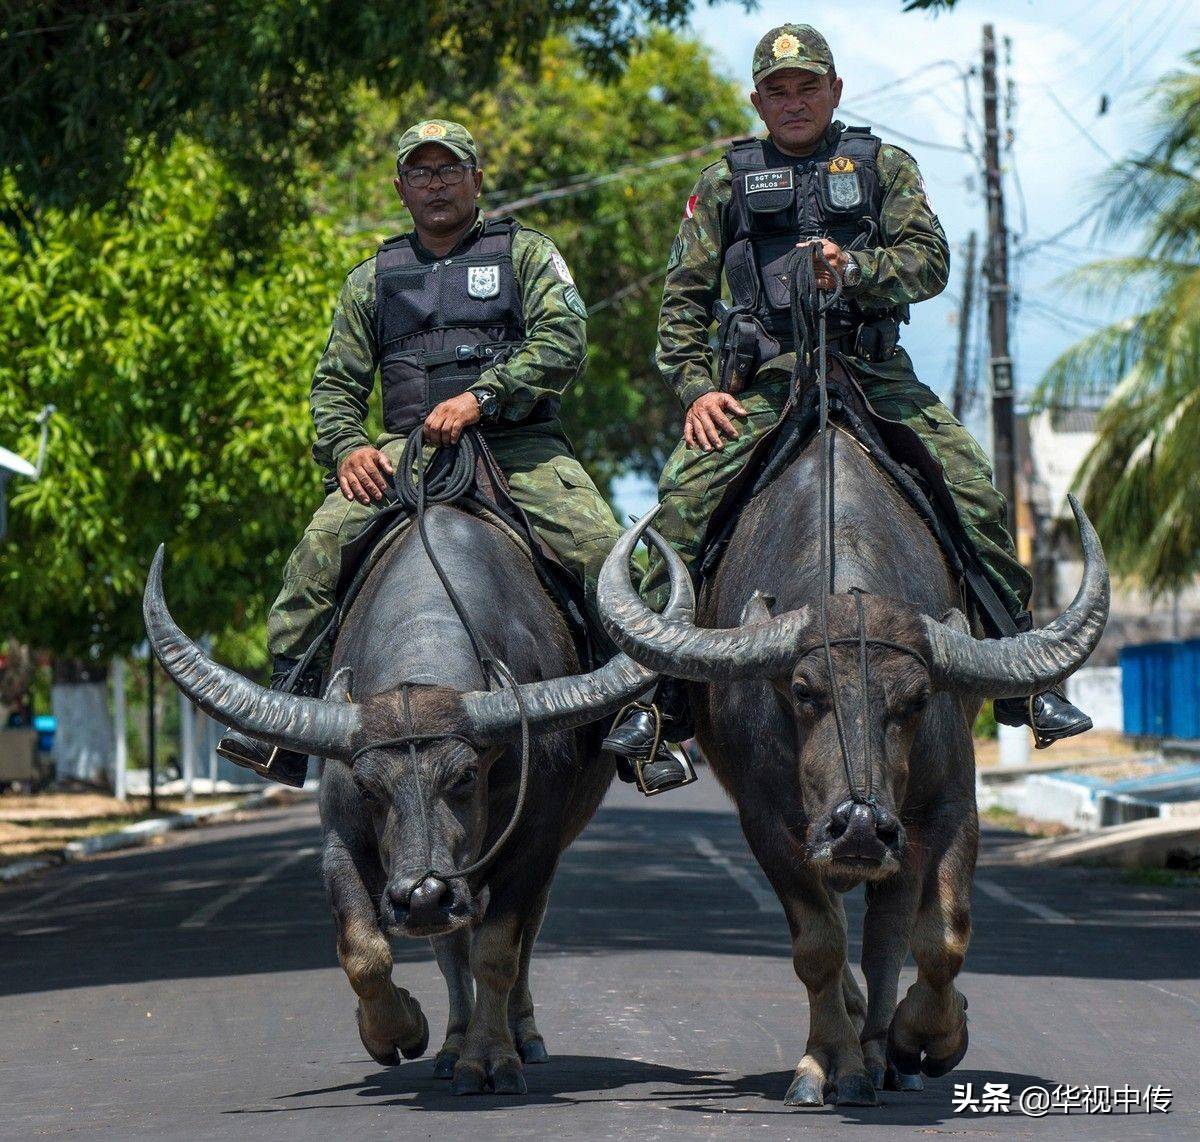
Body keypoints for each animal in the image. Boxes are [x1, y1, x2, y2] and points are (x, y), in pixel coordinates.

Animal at [144, 508, 696, 1098]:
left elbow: (497, 952)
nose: (424, 896)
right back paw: (451, 1045)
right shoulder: (342, 840)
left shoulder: (536, 844)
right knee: (449, 948)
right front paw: (400, 1031)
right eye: (368, 787)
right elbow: (364, 951)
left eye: (466, 775)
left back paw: (521, 1036)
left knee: (521, 938)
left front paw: (491, 1058)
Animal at [597, 427, 1104, 1108]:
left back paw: (886, 1049)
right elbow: (818, 944)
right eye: (804, 690)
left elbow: (940, 937)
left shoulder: (944, 809)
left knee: (887, 935)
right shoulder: (770, 824)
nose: (860, 827)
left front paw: (924, 1040)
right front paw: (828, 1063)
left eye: (917, 698)